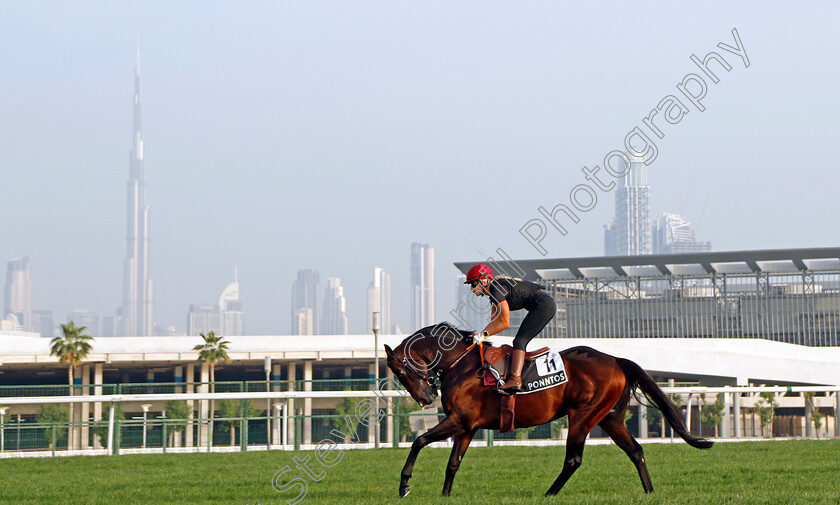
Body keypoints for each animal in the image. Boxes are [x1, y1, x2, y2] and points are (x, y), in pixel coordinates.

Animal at [384, 322, 712, 496]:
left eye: (398, 371)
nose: (426, 397)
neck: (460, 364)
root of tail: (616, 360)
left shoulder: (459, 420)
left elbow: (418, 441)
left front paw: (404, 484)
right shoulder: (467, 426)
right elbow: (453, 463)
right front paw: (445, 494)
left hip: (582, 417)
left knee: (574, 460)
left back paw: (549, 493)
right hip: (610, 419)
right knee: (636, 451)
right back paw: (649, 491)